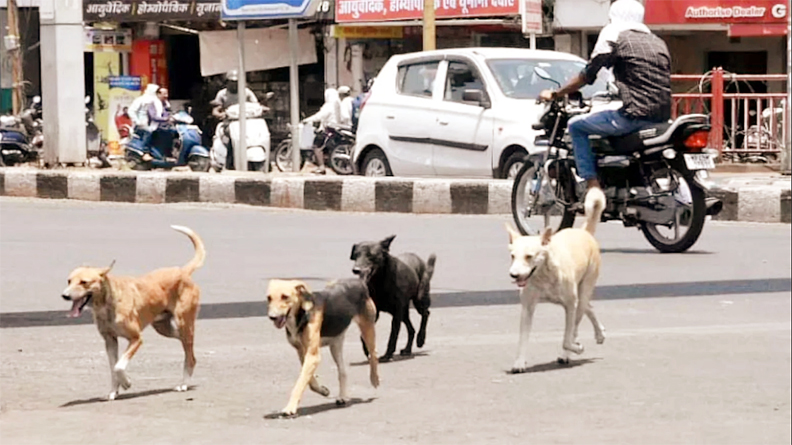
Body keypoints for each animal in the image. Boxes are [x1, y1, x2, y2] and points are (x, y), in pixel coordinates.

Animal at [63, 225, 204, 398]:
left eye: (84, 282)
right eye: (69, 281)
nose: (65, 295)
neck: (108, 304)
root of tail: (182, 271)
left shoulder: (136, 339)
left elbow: (118, 366)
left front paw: (126, 383)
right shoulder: (110, 341)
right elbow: (113, 368)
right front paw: (113, 391)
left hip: (183, 322)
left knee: (190, 355)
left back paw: (184, 384)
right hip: (164, 328)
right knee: (188, 345)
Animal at [268, 278, 382, 416]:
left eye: (285, 296)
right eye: (268, 298)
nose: (272, 317)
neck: (302, 313)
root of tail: (359, 281)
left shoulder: (313, 356)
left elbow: (300, 382)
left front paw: (291, 407)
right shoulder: (302, 353)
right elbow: (310, 381)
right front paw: (323, 390)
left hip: (367, 328)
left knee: (373, 354)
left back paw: (374, 379)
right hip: (335, 345)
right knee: (343, 371)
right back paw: (342, 397)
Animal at [504, 187, 608, 372]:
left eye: (529, 256)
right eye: (512, 256)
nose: (514, 275)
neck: (544, 276)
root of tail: (584, 232)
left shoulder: (570, 305)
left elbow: (567, 338)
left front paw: (575, 348)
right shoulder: (527, 307)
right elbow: (522, 338)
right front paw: (519, 362)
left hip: (584, 289)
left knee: (578, 319)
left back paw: (569, 352)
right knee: (588, 307)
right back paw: (599, 333)